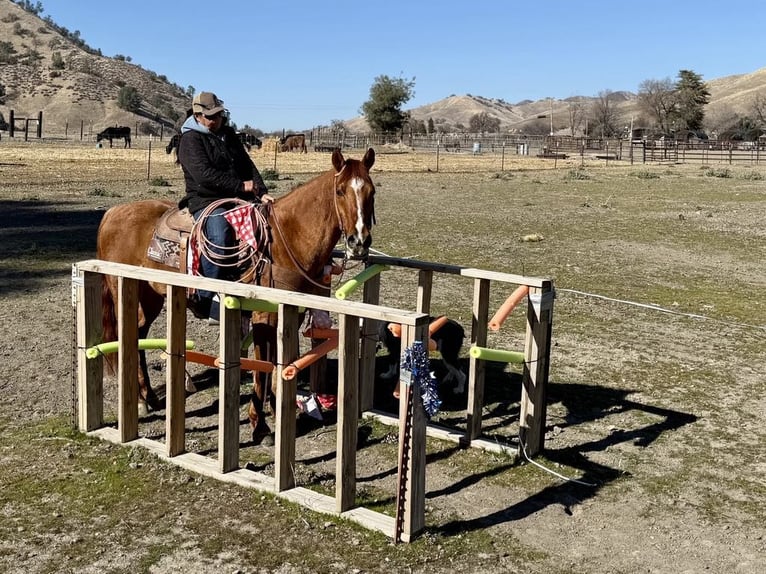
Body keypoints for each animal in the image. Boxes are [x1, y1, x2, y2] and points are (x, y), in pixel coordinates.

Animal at [96, 147, 376, 441]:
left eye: (372, 191)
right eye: (340, 191)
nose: (359, 241)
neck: (285, 240)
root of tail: (112, 214)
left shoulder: (291, 315)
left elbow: (276, 365)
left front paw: (274, 414)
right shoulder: (264, 318)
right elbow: (262, 368)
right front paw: (260, 425)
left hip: (151, 297)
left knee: (138, 333)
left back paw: (148, 397)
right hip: (125, 290)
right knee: (128, 335)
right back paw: (141, 400)